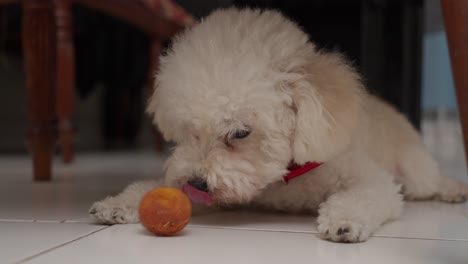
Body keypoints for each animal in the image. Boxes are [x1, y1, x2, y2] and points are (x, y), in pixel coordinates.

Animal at [88, 7, 468, 243]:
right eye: (190, 130)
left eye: (241, 132)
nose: (196, 183)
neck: (284, 179)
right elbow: (151, 187)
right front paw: (119, 203)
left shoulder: (370, 180)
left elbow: (364, 196)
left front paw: (344, 221)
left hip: (415, 170)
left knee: (429, 181)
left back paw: (452, 189)